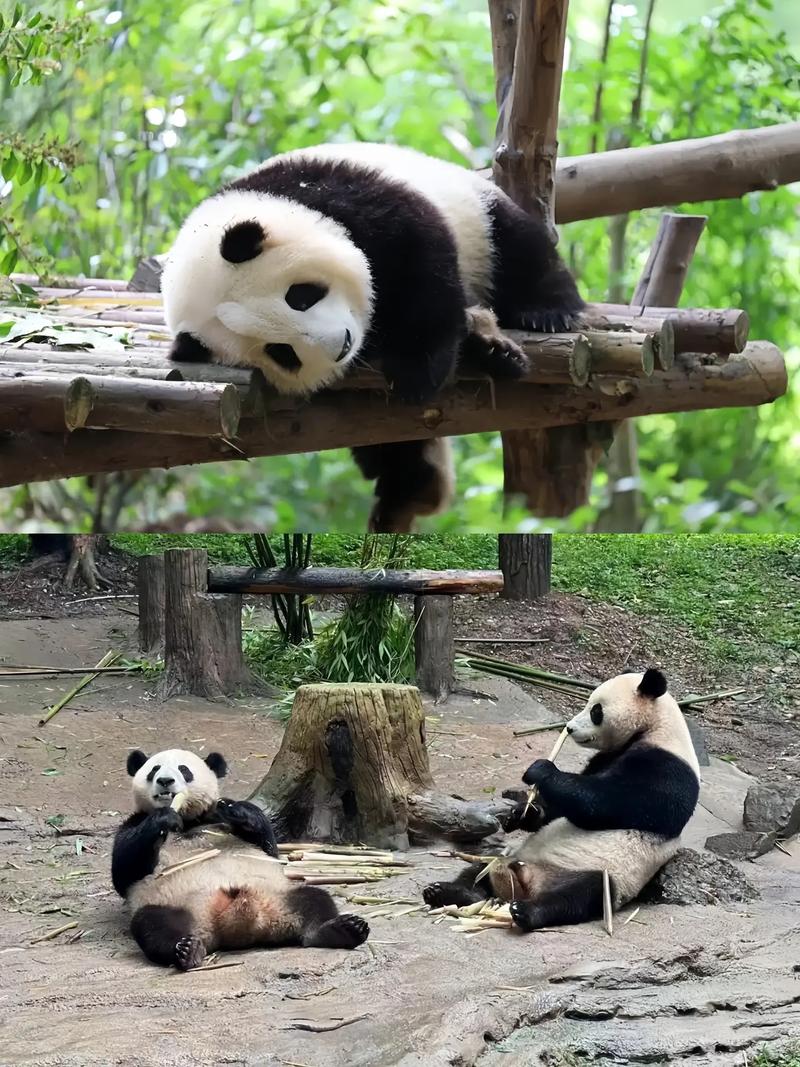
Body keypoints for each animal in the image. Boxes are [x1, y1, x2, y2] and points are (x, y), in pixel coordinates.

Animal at [111, 748, 369, 969]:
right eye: (154, 769)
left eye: (184, 770)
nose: (165, 781)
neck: (189, 820)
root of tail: (236, 926)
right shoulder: (134, 823)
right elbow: (124, 870)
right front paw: (163, 818)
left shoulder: (217, 818)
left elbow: (269, 847)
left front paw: (238, 810)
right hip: (176, 906)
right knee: (152, 925)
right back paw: (186, 949)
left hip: (279, 896)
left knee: (315, 899)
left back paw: (340, 930)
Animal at [161, 142, 584, 532]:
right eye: (281, 352)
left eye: (300, 296)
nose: (340, 346)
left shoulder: (348, 200)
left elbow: (420, 261)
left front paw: (418, 372)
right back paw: (411, 487)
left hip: (474, 213)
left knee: (516, 247)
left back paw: (542, 314)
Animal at [422, 668, 700, 931]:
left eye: (596, 710)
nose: (569, 727)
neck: (654, 728)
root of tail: (526, 883)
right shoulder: (606, 757)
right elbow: (559, 809)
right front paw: (521, 814)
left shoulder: (667, 770)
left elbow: (609, 803)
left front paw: (541, 770)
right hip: (509, 857)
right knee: (478, 870)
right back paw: (449, 892)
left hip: (605, 874)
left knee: (577, 897)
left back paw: (527, 912)